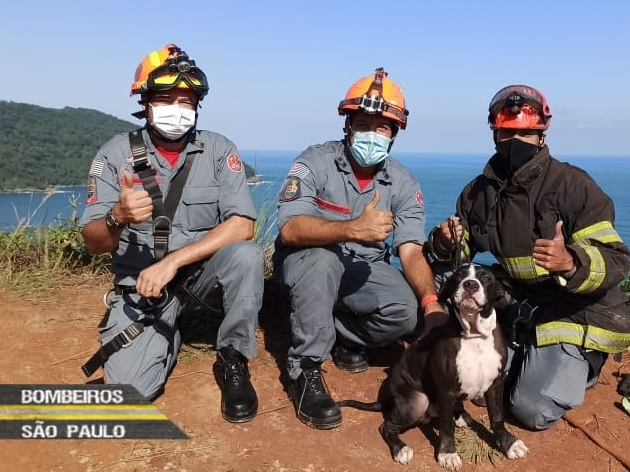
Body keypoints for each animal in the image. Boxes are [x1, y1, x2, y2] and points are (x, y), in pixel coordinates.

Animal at [340, 264, 528, 470]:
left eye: (486, 278)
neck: (474, 334)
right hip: (417, 401)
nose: (470, 284)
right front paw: (448, 453)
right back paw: (400, 449)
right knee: (386, 426)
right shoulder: (446, 390)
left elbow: (497, 417)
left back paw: (461, 415)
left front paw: (509, 444)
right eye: (459, 275)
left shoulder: (496, 384)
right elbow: (446, 425)